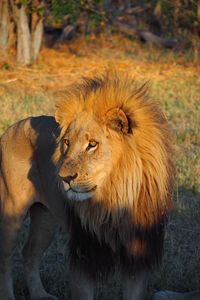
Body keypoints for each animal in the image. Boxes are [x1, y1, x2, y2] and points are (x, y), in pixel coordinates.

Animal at [0, 73, 173, 300]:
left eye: (92, 144)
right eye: (66, 142)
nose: (63, 178)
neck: (117, 195)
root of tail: (13, 127)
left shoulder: (137, 256)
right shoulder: (85, 252)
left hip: (46, 218)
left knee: (29, 252)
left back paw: (40, 294)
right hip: (12, 212)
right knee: (5, 256)